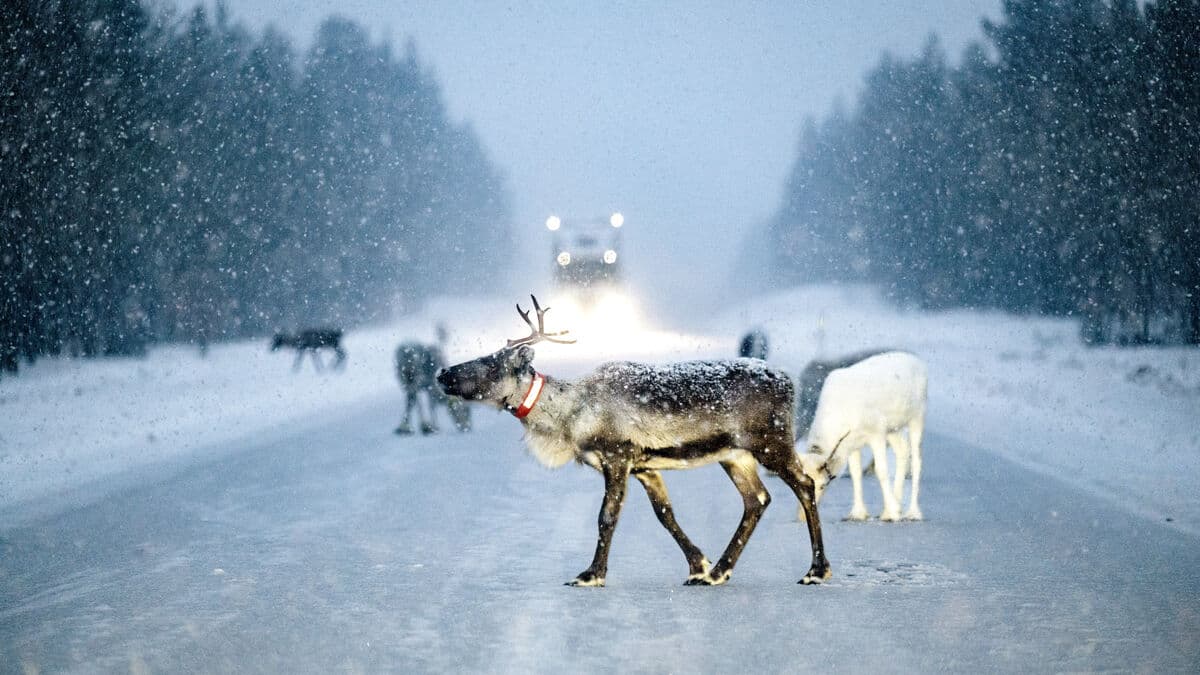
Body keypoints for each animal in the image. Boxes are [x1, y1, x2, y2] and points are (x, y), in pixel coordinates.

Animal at [436, 296, 831, 587]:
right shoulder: (644, 466)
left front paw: (591, 574)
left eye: (491, 363)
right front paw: (698, 566)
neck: (571, 418)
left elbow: (606, 516)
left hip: (770, 441)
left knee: (805, 484)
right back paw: (719, 572)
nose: (442, 373)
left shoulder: (617, 456)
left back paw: (816, 570)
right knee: (757, 499)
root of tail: (789, 381)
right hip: (735, 455)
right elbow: (665, 514)